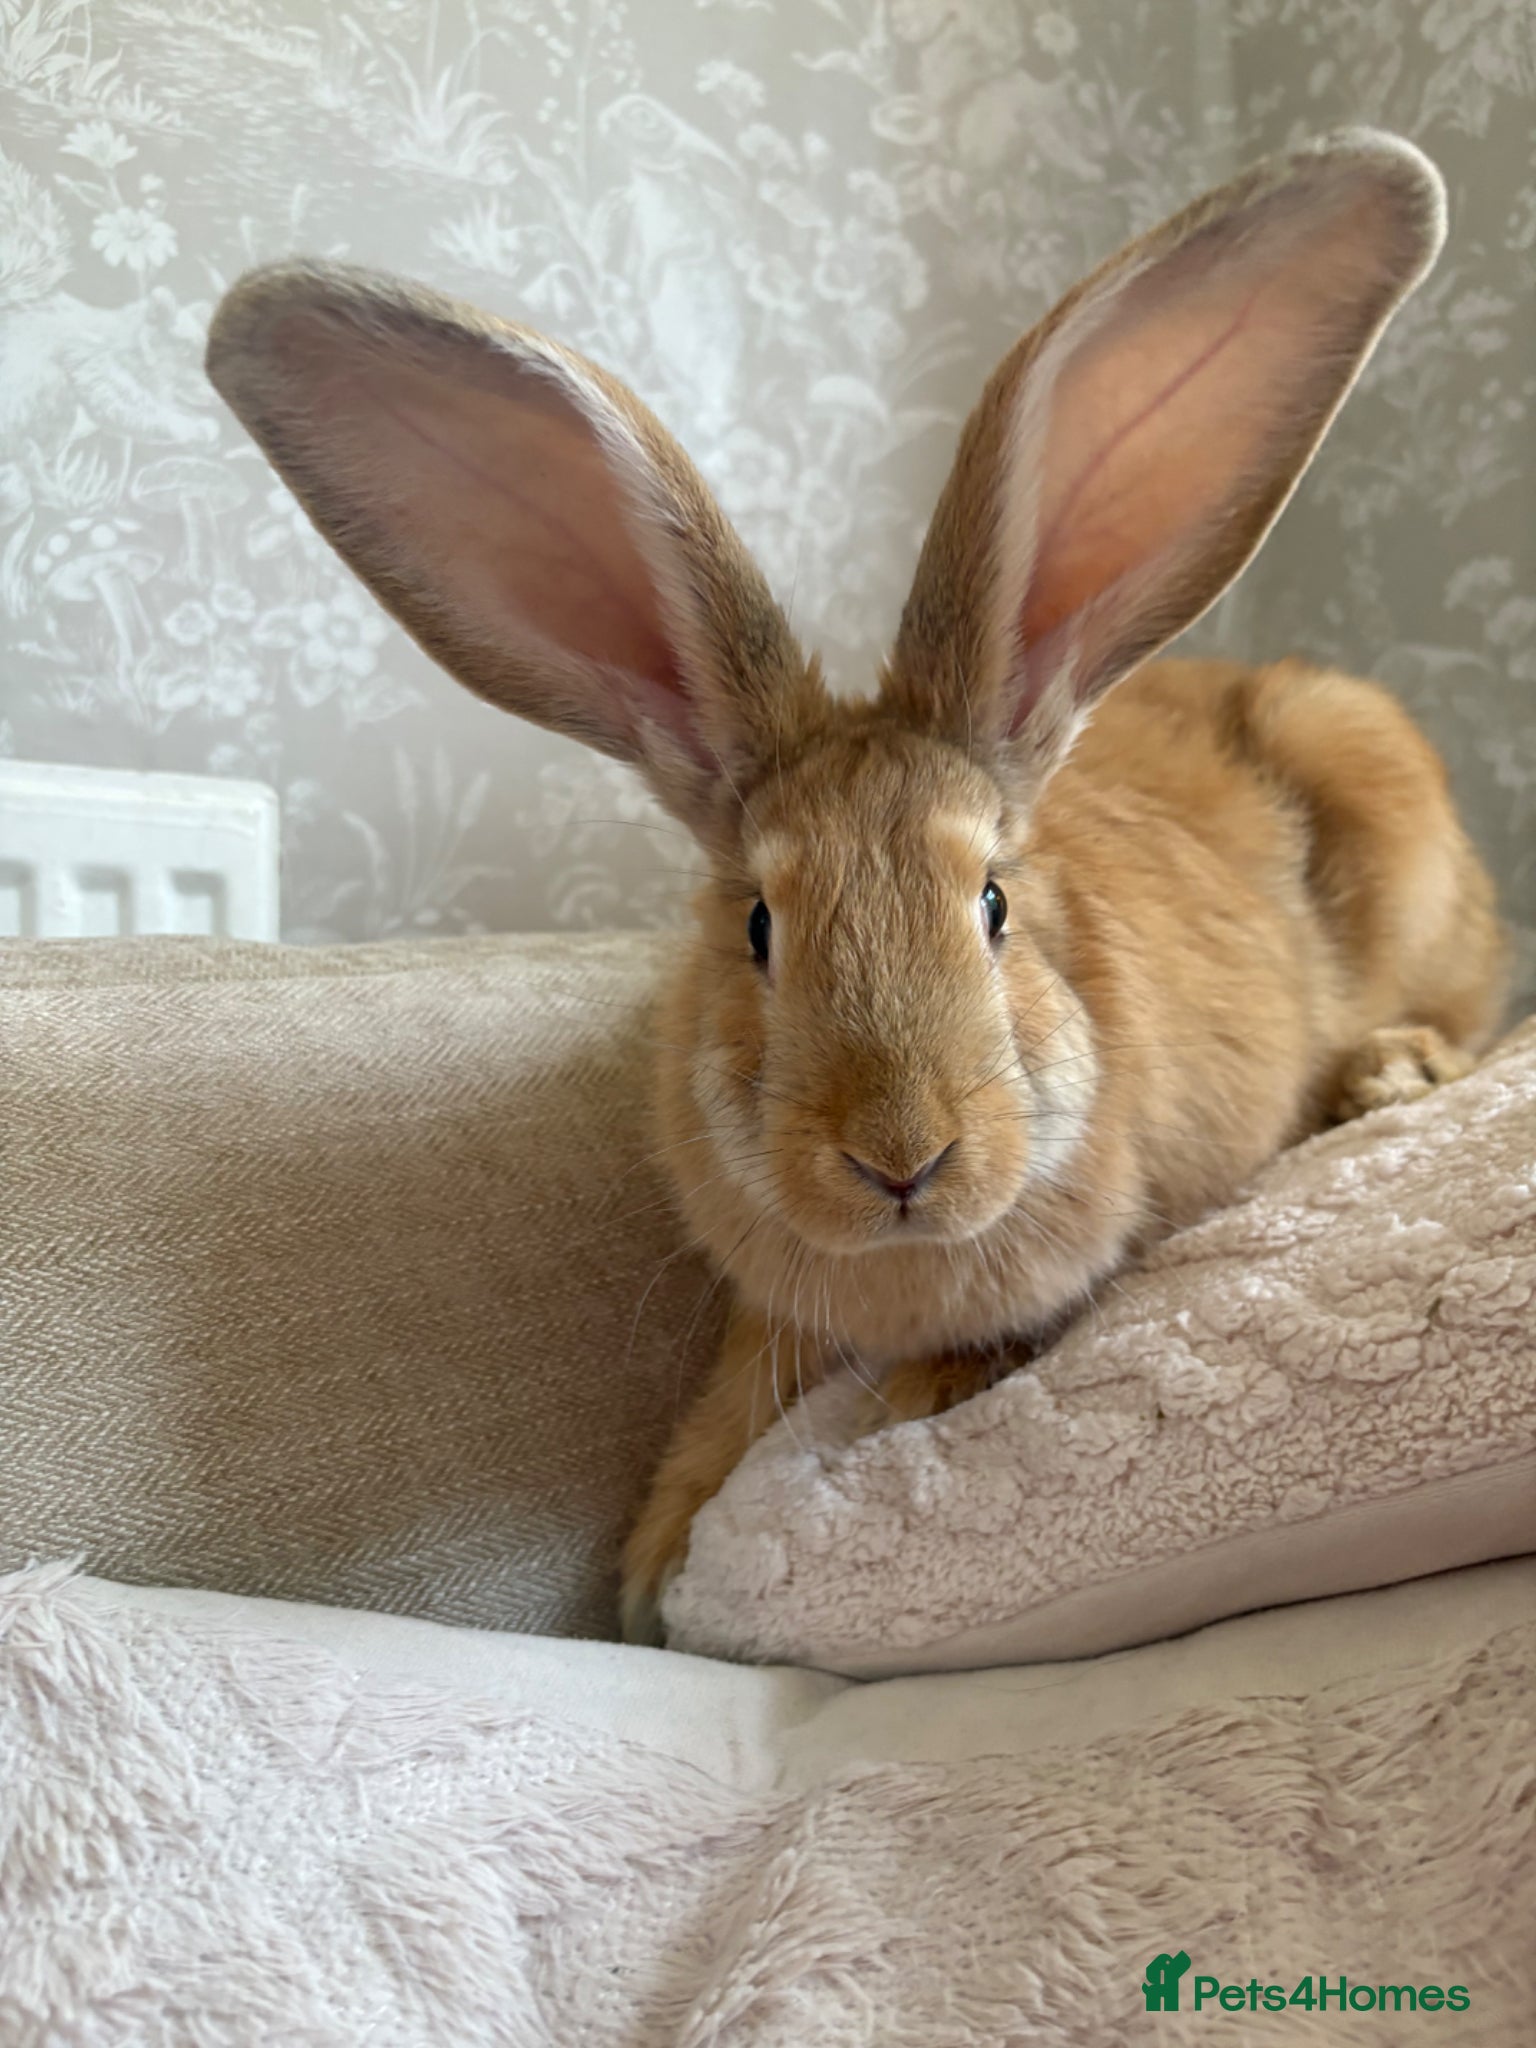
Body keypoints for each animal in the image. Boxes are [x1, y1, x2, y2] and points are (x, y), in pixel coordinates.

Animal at [205, 129, 1506, 1647]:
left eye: (993, 904)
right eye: (758, 925)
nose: (903, 1157)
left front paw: (917, 1391)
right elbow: (735, 1390)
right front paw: (653, 1560)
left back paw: (1392, 1073)